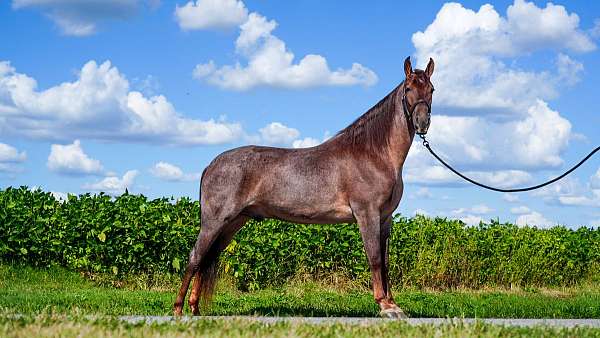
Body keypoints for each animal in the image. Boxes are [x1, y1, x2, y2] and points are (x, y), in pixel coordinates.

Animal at [173, 56, 436, 318]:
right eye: (408, 88)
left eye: (431, 89)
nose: (422, 123)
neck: (373, 153)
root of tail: (211, 165)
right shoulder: (367, 214)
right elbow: (375, 259)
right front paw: (384, 305)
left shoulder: (385, 218)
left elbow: (385, 261)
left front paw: (393, 305)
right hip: (214, 221)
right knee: (195, 257)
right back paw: (178, 310)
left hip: (233, 223)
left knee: (207, 258)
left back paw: (195, 308)